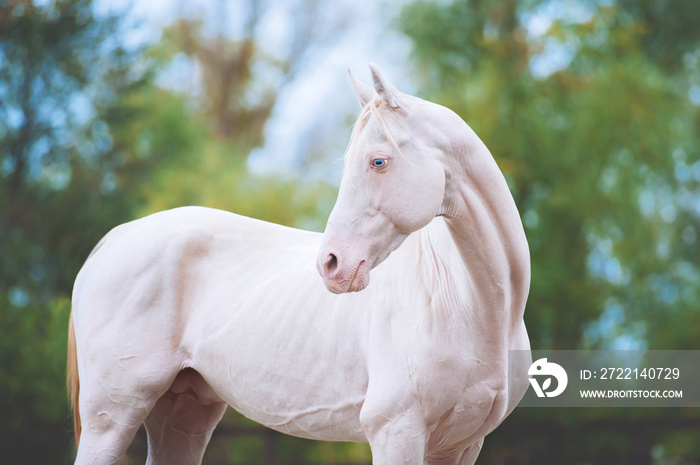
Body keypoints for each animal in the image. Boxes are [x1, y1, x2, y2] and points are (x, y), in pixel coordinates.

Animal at [69, 65, 532, 464]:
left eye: (378, 161)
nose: (331, 264)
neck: (467, 304)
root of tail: (115, 238)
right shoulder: (395, 433)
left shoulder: (461, 446)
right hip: (111, 417)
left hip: (182, 413)